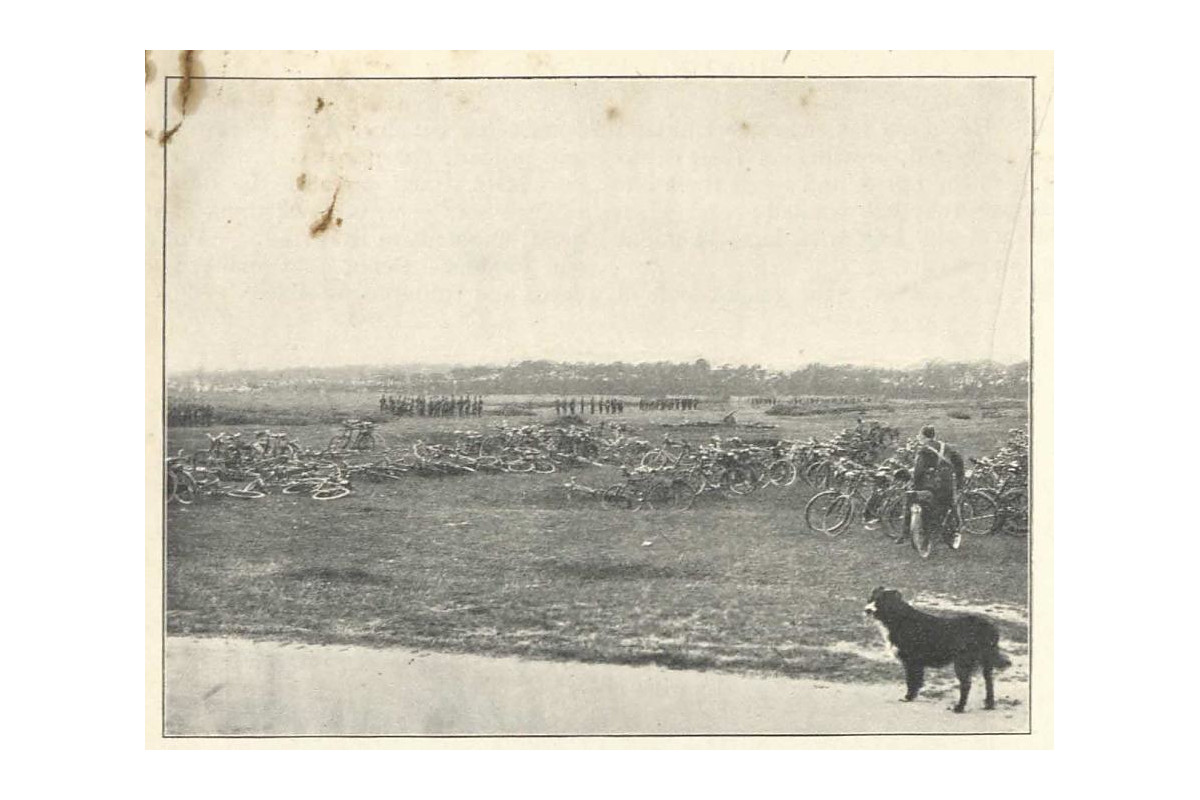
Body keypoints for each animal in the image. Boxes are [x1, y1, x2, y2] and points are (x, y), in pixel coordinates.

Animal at [864, 587, 1012, 714]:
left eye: (880, 601)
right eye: (871, 598)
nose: (867, 610)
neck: (899, 618)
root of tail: (988, 627)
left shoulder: (911, 661)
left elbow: (911, 681)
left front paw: (908, 697)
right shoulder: (915, 663)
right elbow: (916, 681)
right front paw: (912, 696)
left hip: (962, 663)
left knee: (966, 685)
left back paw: (959, 707)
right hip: (986, 662)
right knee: (989, 682)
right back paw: (989, 705)